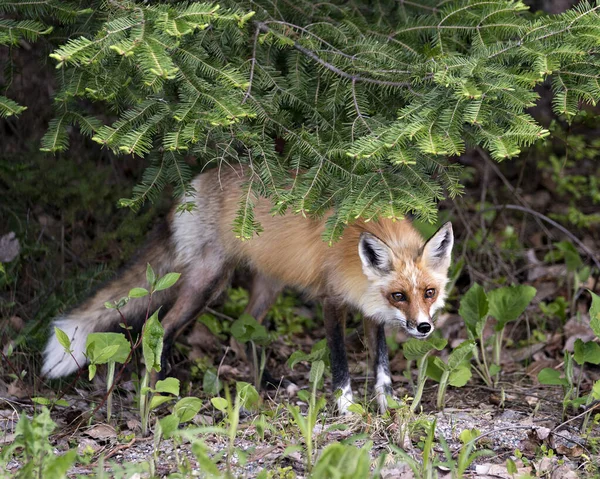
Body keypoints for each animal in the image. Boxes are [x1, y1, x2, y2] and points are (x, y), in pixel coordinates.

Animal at [42, 165, 452, 412]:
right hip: (208, 282)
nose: (423, 327)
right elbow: (340, 362)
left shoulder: (371, 313)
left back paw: (267, 383)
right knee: (156, 330)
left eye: (428, 293)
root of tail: (198, 182)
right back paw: (155, 393)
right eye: (399, 295)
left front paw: (387, 407)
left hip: (269, 283)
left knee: (242, 332)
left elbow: (380, 366)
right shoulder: (332, 302)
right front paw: (347, 407)